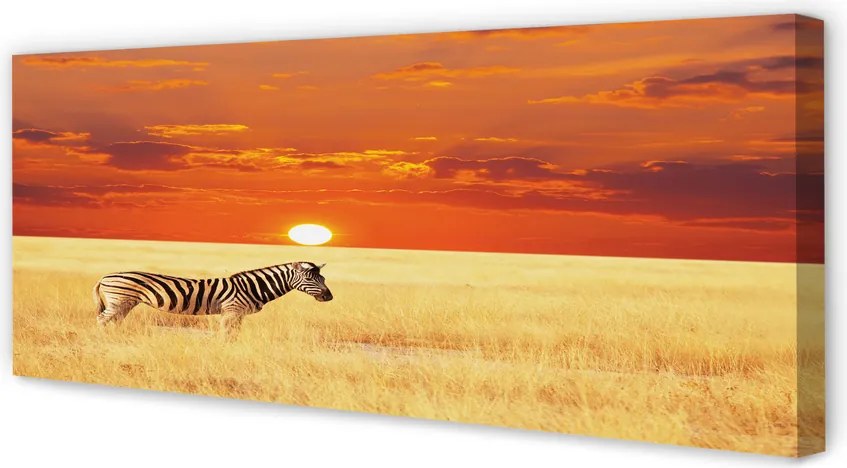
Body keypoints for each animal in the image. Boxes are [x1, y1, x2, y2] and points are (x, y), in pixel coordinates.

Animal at [93, 261, 333, 339]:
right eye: (310, 279)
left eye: (323, 278)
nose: (329, 296)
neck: (253, 287)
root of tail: (105, 276)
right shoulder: (231, 311)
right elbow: (226, 334)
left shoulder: (238, 314)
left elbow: (235, 334)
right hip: (118, 300)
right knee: (102, 320)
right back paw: (103, 340)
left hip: (126, 303)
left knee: (115, 321)